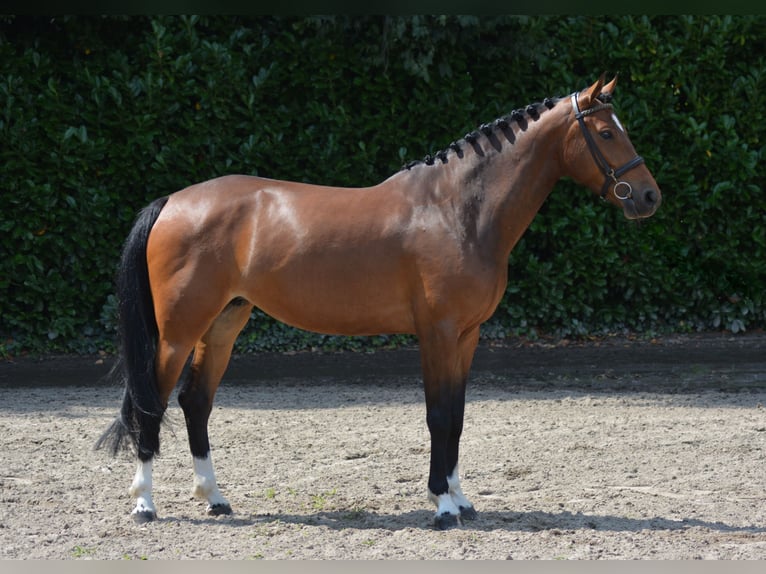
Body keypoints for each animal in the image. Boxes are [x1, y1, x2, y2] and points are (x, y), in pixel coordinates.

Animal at [94, 75, 660, 532]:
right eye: (606, 133)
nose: (649, 196)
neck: (457, 209)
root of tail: (173, 201)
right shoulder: (437, 333)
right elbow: (438, 416)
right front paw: (442, 507)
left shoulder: (467, 336)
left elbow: (458, 416)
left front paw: (461, 498)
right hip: (178, 331)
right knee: (152, 402)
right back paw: (144, 504)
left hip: (223, 324)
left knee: (196, 401)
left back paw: (214, 498)